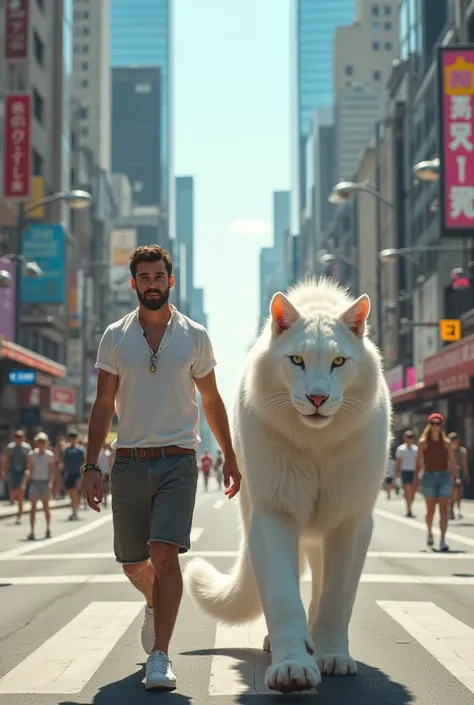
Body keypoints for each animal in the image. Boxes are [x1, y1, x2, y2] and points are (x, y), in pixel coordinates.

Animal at [185, 276, 392, 692]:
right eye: (296, 360)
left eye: (339, 362)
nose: (317, 397)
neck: (317, 442)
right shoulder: (274, 513)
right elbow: (282, 597)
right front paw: (292, 668)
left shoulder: (350, 520)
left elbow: (336, 598)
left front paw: (333, 655)